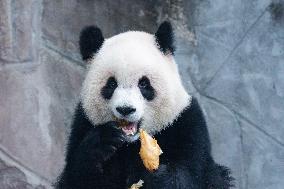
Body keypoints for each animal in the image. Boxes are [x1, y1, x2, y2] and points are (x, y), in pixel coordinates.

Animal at [55, 21, 233, 188]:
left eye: (144, 84)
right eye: (111, 84)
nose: (125, 109)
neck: (132, 144)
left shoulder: (187, 125)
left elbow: (193, 176)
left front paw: (154, 174)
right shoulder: (83, 123)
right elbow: (76, 178)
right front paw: (103, 140)